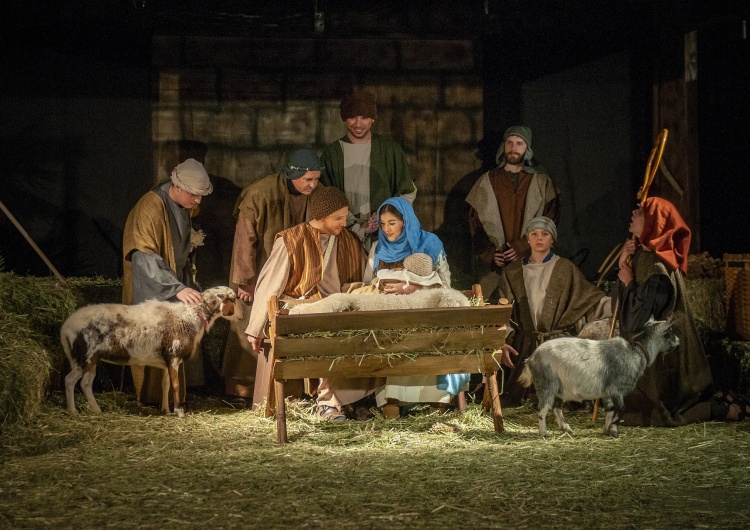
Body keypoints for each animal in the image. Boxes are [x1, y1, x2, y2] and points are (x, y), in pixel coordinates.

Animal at [63, 286, 244, 414]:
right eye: (233, 299)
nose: (242, 317)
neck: (193, 315)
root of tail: (66, 327)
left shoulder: (166, 361)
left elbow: (165, 385)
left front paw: (166, 410)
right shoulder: (173, 355)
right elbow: (176, 385)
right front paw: (179, 412)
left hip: (92, 358)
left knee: (86, 383)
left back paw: (96, 410)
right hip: (86, 355)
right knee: (70, 380)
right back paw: (73, 412)